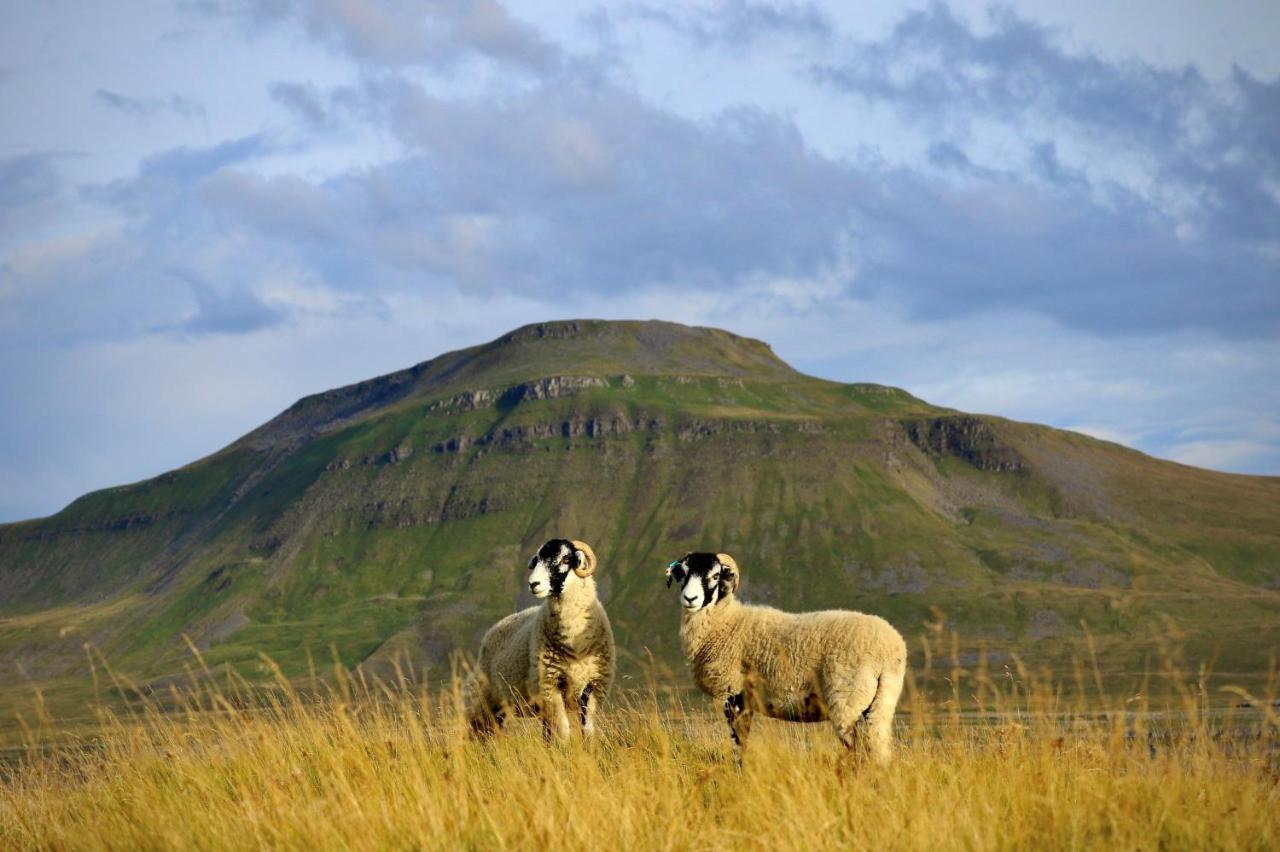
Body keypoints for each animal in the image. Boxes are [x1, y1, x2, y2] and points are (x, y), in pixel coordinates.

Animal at [465, 537, 614, 736]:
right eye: (537, 560)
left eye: (566, 558)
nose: (533, 584)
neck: (575, 643)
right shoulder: (550, 686)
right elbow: (563, 730)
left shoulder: (592, 686)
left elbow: (587, 729)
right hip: (484, 701)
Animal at [665, 550, 906, 762]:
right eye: (683, 573)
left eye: (715, 575)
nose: (690, 598)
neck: (725, 621)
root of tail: (889, 649)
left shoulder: (734, 694)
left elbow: (738, 745)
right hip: (881, 703)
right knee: (878, 750)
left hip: (847, 700)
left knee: (861, 752)